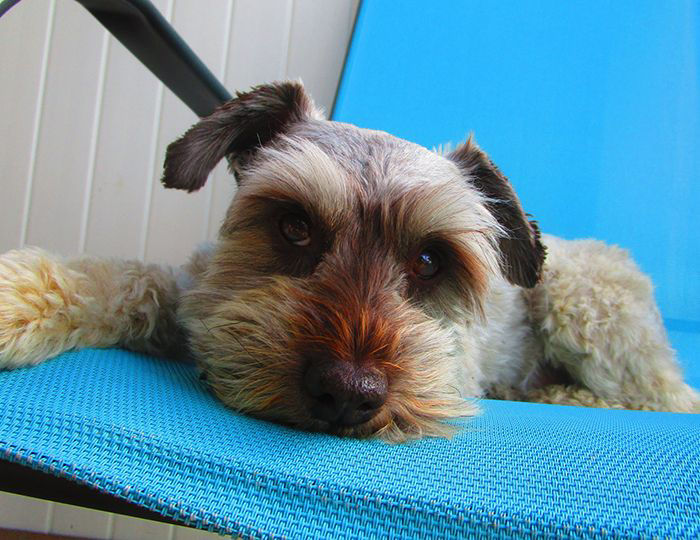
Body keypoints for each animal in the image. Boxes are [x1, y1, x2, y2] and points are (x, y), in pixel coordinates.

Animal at [0, 82, 696, 440]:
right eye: (294, 225)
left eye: (430, 259)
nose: (346, 394)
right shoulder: (200, 296)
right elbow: (127, 280)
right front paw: (20, 297)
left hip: (583, 299)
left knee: (664, 399)